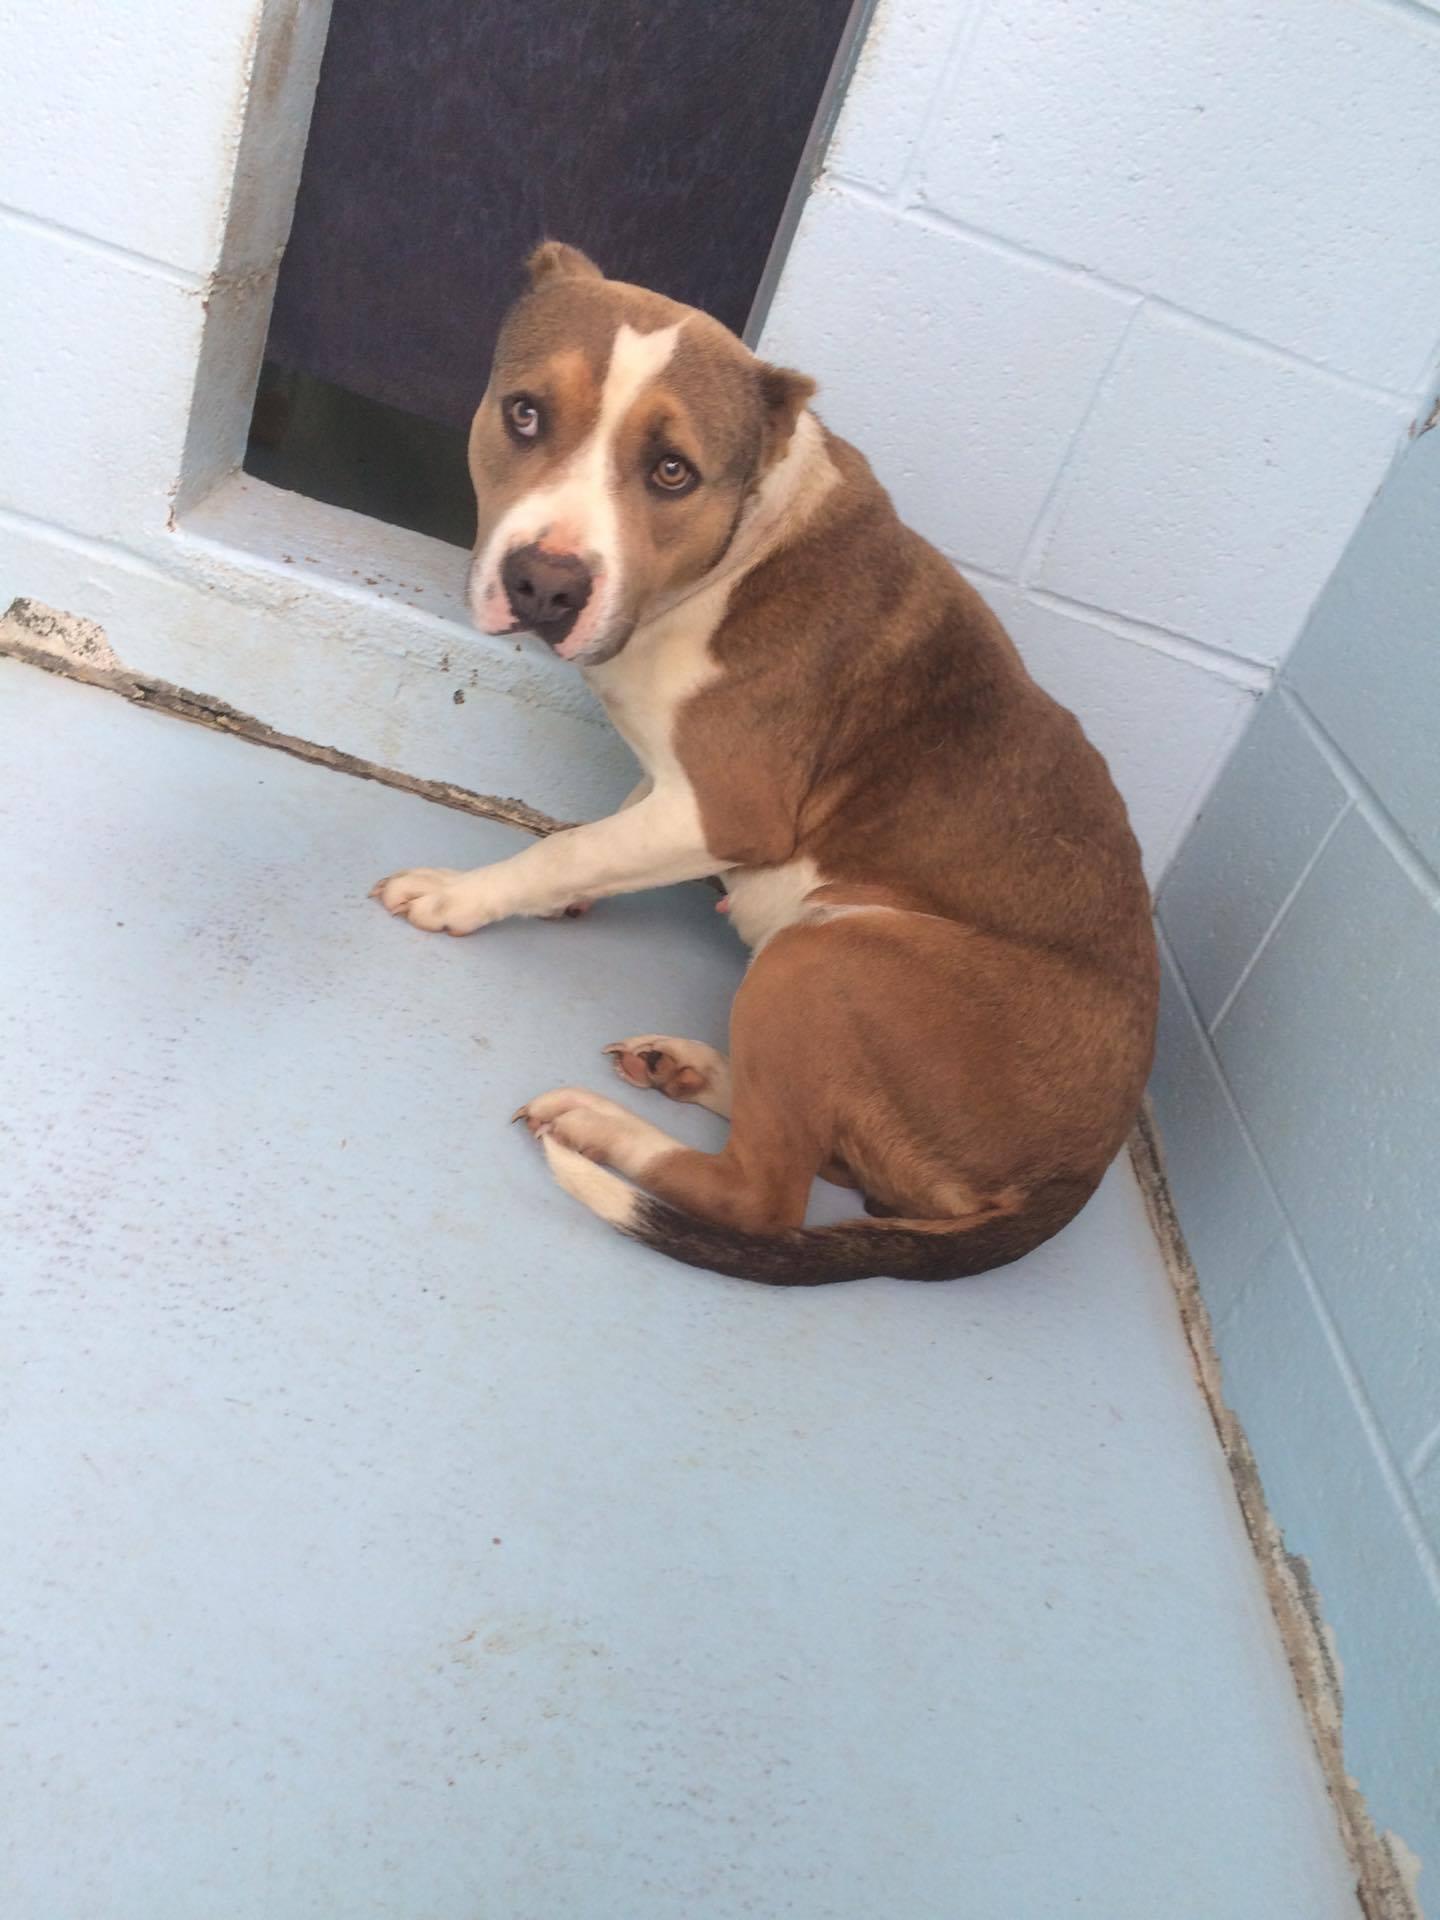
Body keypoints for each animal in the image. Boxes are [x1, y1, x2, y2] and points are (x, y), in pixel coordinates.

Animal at [372, 243, 1159, 1290]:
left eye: (672, 471)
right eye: (525, 413)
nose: (544, 585)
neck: (731, 555)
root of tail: (1078, 1175)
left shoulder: (727, 808)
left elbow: (567, 848)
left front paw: (469, 895)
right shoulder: (672, 788)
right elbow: (605, 829)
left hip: (825, 958)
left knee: (764, 1194)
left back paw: (607, 1131)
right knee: (811, 1144)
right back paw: (693, 1069)